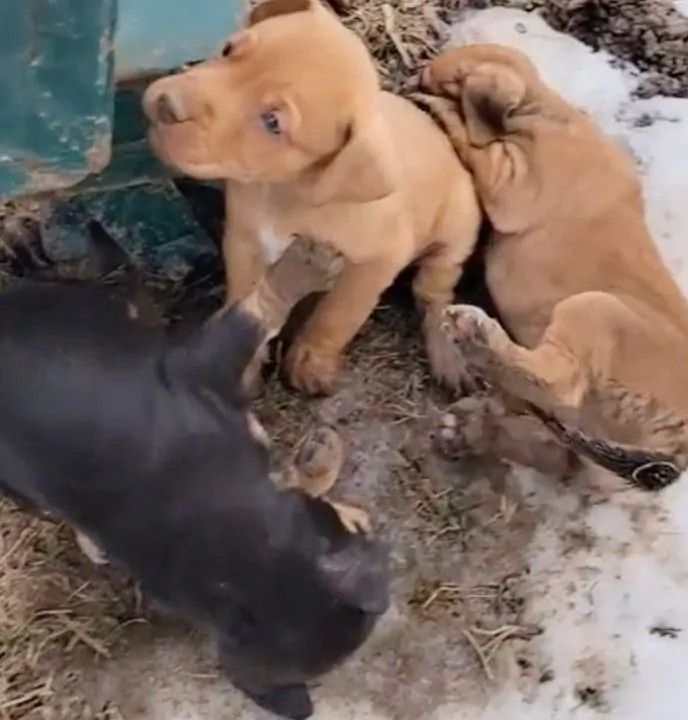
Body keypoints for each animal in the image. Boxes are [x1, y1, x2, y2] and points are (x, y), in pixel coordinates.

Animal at [142, 0, 482, 396]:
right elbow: (245, 298)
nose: (167, 105)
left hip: (453, 241)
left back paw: (449, 357)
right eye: (227, 50)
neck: (287, 191)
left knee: (434, 298)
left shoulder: (377, 263)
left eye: (273, 122)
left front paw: (310, 363)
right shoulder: (243, 241)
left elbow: (337, 316)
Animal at [415, 44, 688, 490]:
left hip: (596, 310)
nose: (412, 80)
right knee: (557, 454)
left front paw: (435, 106)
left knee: (558, 382)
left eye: (430, 78)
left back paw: (477, 337)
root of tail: (676, 445)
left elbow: (475, 143)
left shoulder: (511, 179)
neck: (542, 109)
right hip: (591, 450)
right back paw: (468, 431)